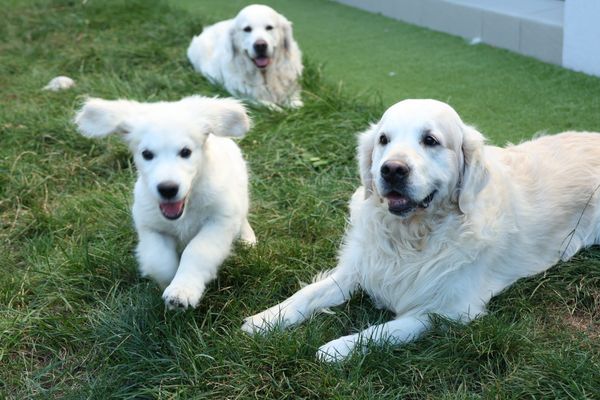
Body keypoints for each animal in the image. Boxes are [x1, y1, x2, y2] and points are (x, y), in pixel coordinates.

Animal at [75, 96, 255, 310]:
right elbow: (159, 261)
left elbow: (197, 251)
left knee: (242, 218)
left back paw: (247, 240)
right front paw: (169, 286)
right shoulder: (151, 227)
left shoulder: (219, 221)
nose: (167, 189)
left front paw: (183, 289)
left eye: (185, 152)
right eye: (147, 154)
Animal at [243, 98, 600, 360]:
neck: (411, 237)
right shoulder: (359, 268)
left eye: (430, 140)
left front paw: (337, 348)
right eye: (383, 139)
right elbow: (308, 293)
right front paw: (265, 319)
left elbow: (385, 330)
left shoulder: (449, 310)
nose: (392, 170)